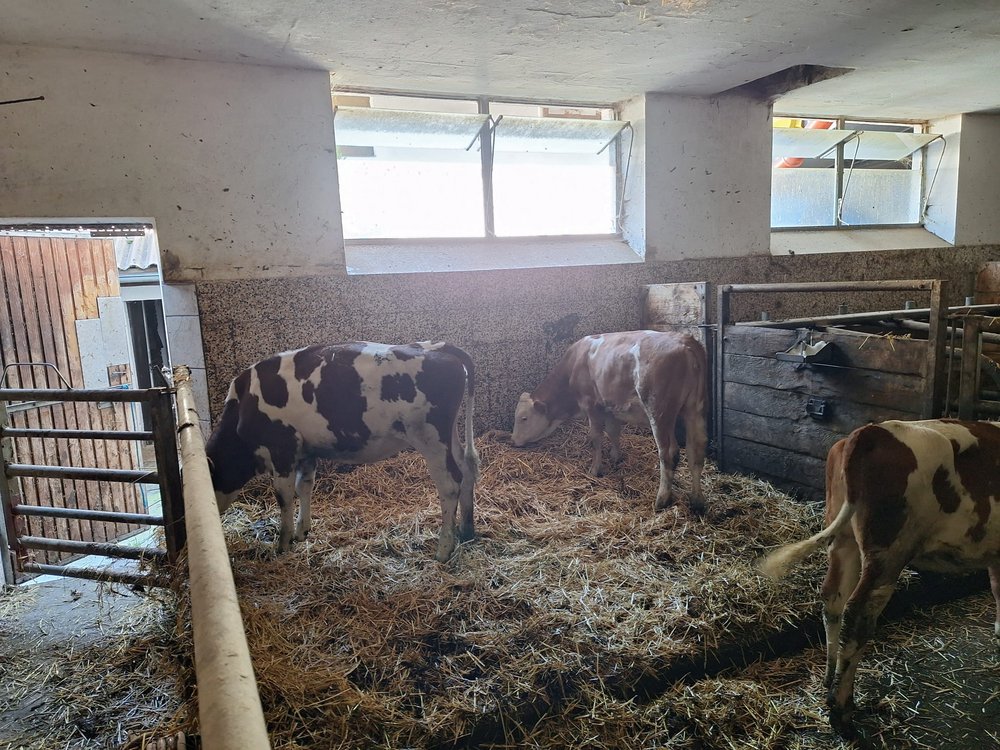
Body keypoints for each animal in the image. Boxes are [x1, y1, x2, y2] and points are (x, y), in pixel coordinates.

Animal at [205, 341, 480, 562]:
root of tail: (436, 347)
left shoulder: (282, 448)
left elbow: (283, 496)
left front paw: (282, 544)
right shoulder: (305, 452)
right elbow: (304, 487)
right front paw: (302, 531)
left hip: (431, 439)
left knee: (450, 484)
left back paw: (444, 548)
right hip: (449, 436)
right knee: (467, 468)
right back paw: (466, 530)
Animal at [511, 330, 708, 513]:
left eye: (523, 418)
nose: (513, 441)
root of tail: (684, 341)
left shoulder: (591, 404)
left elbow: (595, 438)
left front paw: (595, 469)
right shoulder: (610, 407)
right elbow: (613, 431)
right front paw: (615, 457)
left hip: (658, 411)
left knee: (667, 454)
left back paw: (662, 499)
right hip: (694, 410)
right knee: (694, 452)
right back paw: (697, 500)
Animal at [760, 419, 1000, 734]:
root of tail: (870, 431)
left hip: (843, 539)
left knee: (832, 598)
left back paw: (829, 677)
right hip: (888, 552)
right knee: (858, 612)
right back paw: (841, 708)